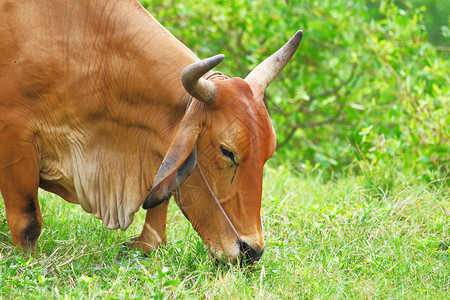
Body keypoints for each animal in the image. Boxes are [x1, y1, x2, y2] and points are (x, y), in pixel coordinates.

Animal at [0, 0, 302, 262]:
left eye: (267, 155)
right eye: (227, 151)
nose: (252, 251)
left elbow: (156, 228)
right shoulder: (15, 137)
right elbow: (28, 224)